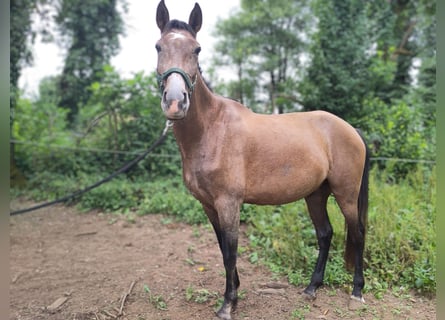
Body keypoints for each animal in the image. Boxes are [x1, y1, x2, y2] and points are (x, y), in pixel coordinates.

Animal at [154, 1, 370, 318]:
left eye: (197, 49)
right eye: (158, 46)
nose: (175, 101)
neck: (212, 129)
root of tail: (351, 129)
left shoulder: (229, 203)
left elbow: (231, 252)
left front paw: (228, 304)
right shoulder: (208, 205)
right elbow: (223, 249)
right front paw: (234, 294)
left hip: (346, 194)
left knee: (356, 233)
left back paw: (356, 292)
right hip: (316, 194)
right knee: (325, 234)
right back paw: (312, 288)